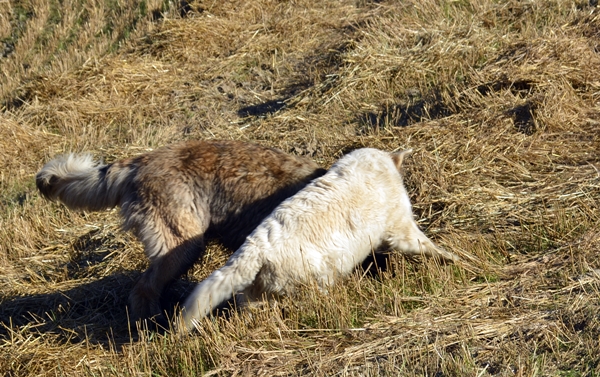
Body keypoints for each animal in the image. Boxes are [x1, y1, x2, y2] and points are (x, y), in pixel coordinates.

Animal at [180, 147, 458, 328]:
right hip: (312, 284)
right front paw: (454, 259)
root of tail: (254, 249)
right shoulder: (399, 227)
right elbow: (425, 245)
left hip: (258, 293)